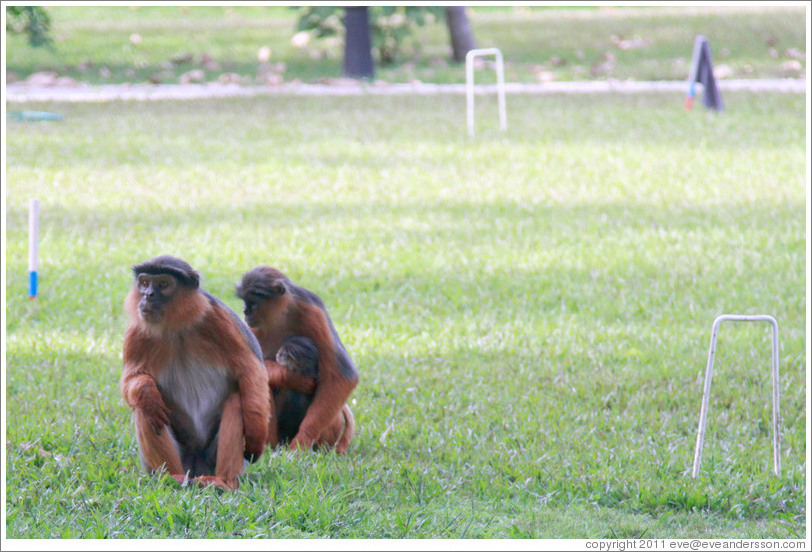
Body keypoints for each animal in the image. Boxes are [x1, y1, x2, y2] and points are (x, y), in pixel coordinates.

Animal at [121, 256, 272, 490]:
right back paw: (170, 477)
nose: (147, 296)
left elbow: (251, 370)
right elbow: (131, 381)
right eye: (144, 283)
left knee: (237, 400)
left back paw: (223, 481)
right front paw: (146, 392)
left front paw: (257, 432)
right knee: (145, 410)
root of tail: (196, 464)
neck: (176, 328)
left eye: (163, 284)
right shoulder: (137, 330)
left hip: (211, 459)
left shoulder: (216, 318)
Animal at [236, 266, 360, 452]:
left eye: (252, 302)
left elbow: (342, 376)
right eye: (245, 301)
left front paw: (302, 441)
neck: (281, 316)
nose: (245, 311)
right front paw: (292, 377)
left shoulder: (312, 311)